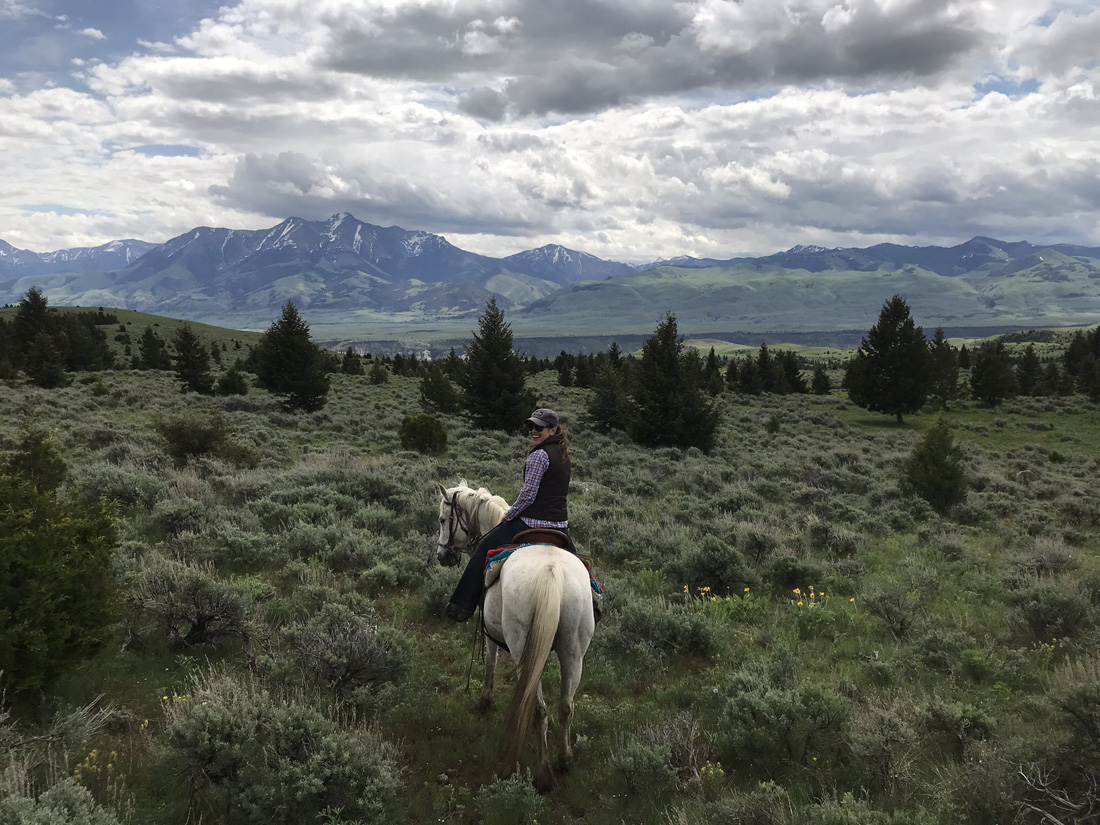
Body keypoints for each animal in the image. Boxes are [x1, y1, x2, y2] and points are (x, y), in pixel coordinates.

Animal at [433, 481, 598, 792]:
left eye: (441, 519)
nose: (442, 556)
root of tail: (551, 572)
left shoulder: (489, 630)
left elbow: (490, 662)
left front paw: (485, 700)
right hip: (574, 651)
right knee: (565, 706)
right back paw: (564, 760)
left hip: (523, 649)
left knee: (538, 709)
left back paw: (544, 773)